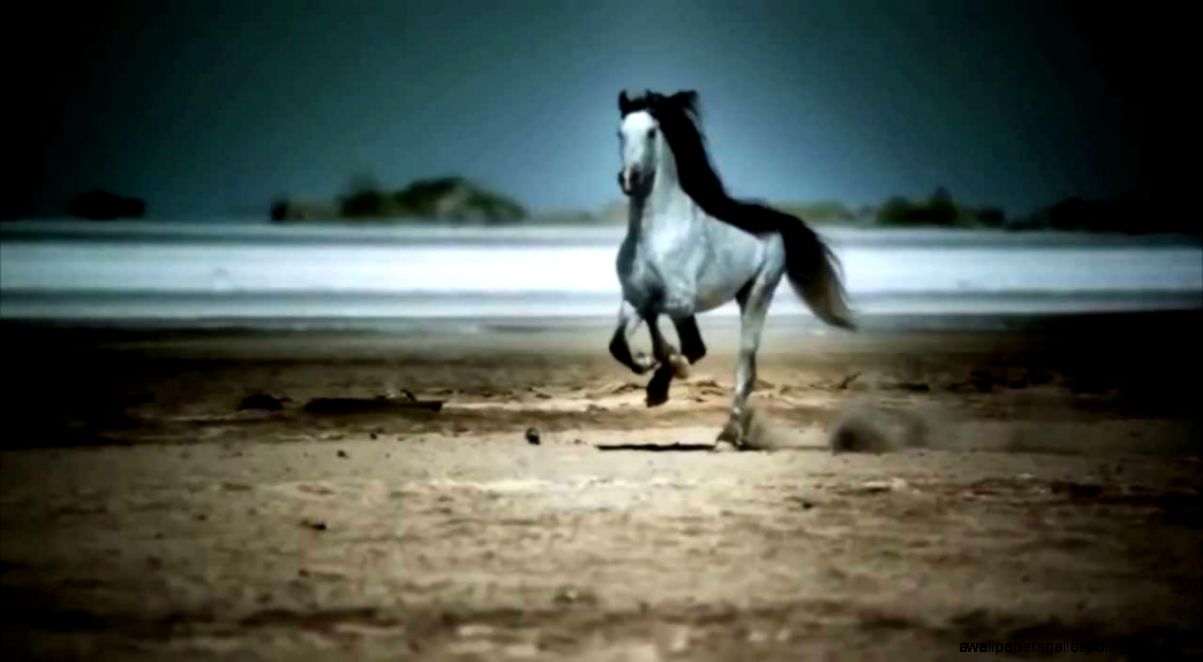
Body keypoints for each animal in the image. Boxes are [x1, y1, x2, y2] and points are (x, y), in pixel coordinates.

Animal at [609, 89, 855, 448]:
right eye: (620, 133)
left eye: (652, 132)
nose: (629, 178)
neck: (655, 236)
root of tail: (775, 223)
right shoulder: (633, 298)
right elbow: (618, 345)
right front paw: (648, 371)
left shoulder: (678, 300)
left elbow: (660, 323)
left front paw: (664, 367)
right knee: (699, 348)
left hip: (757, 292)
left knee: (744, 368)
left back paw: (727, 435)